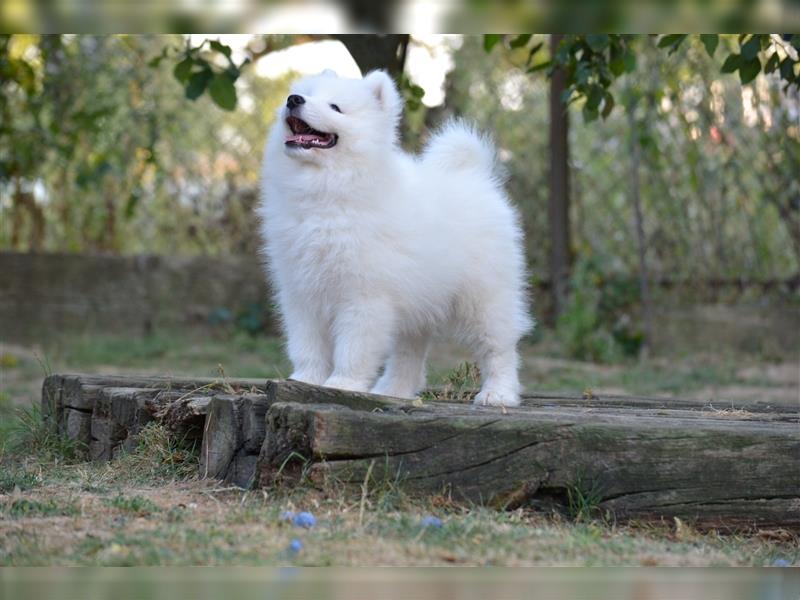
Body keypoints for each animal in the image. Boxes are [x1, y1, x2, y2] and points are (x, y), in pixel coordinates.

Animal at [258, 70, 532, 408]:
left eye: (335, 107)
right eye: (304, 93)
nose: (293, 100)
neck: (329, 191)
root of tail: (475, 176)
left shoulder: (364, 295)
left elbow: (354, 347)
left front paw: (343, 384)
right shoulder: (301, 290)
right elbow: (305, 343)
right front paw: (305, 379)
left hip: (486, 297)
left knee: (498, 347)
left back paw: (498, 393)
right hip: (418, 302)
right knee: (409, 352)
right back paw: (394, 390)